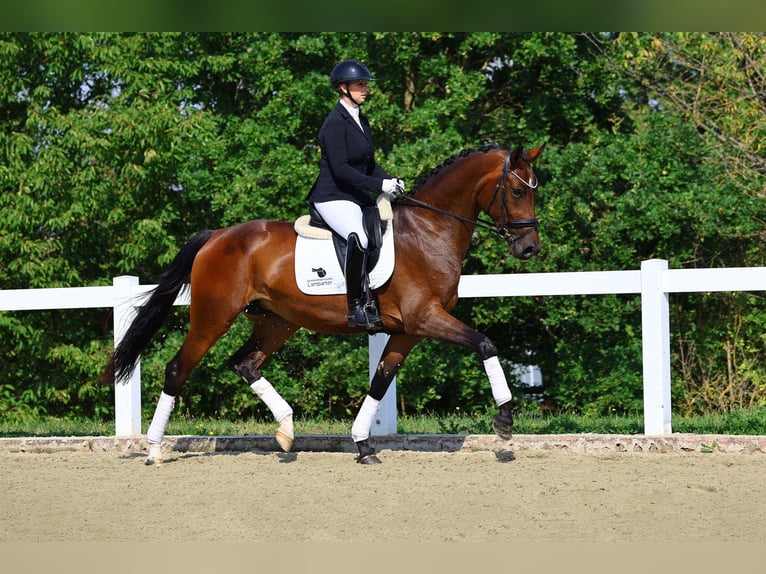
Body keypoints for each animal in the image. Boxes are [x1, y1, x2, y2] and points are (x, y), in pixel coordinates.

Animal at [100, 142, 544, 466]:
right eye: (517, 190)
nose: (528, 249)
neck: (428, 230)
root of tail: (216, 236)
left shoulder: (407, 330)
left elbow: (380, 381)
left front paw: (362, 445)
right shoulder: (426, 318)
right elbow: (485, 343)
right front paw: (505, 420)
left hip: (276, 322)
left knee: (245, 364)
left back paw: (286, 432)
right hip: (213, 318)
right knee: (178, 369)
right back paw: (154, 451)